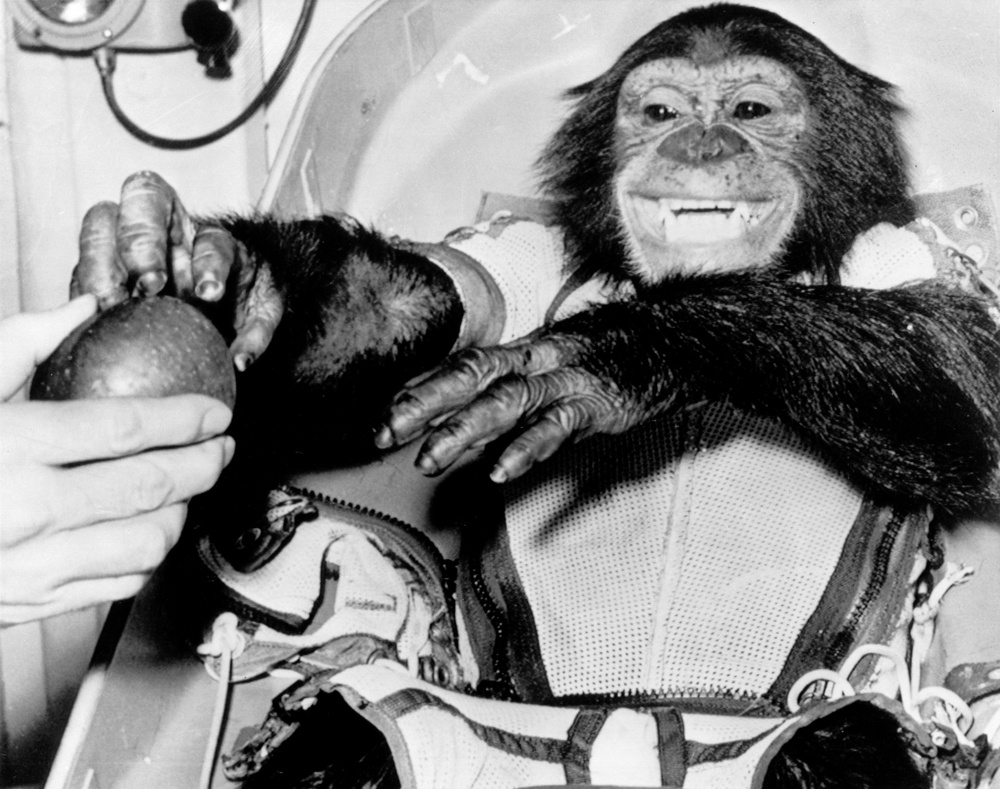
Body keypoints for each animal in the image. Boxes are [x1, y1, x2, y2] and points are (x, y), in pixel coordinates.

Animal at [71, 4, 1000, 787]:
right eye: (659, 112)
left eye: (750, 110)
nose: (697, 147)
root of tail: (626, 722)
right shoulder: (511, 255)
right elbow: (410, 299)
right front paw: (245, 286)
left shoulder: (909, 254)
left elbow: (966, 367)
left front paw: (618, 352)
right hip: (446, 727)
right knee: (341, 741)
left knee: (843, 751)